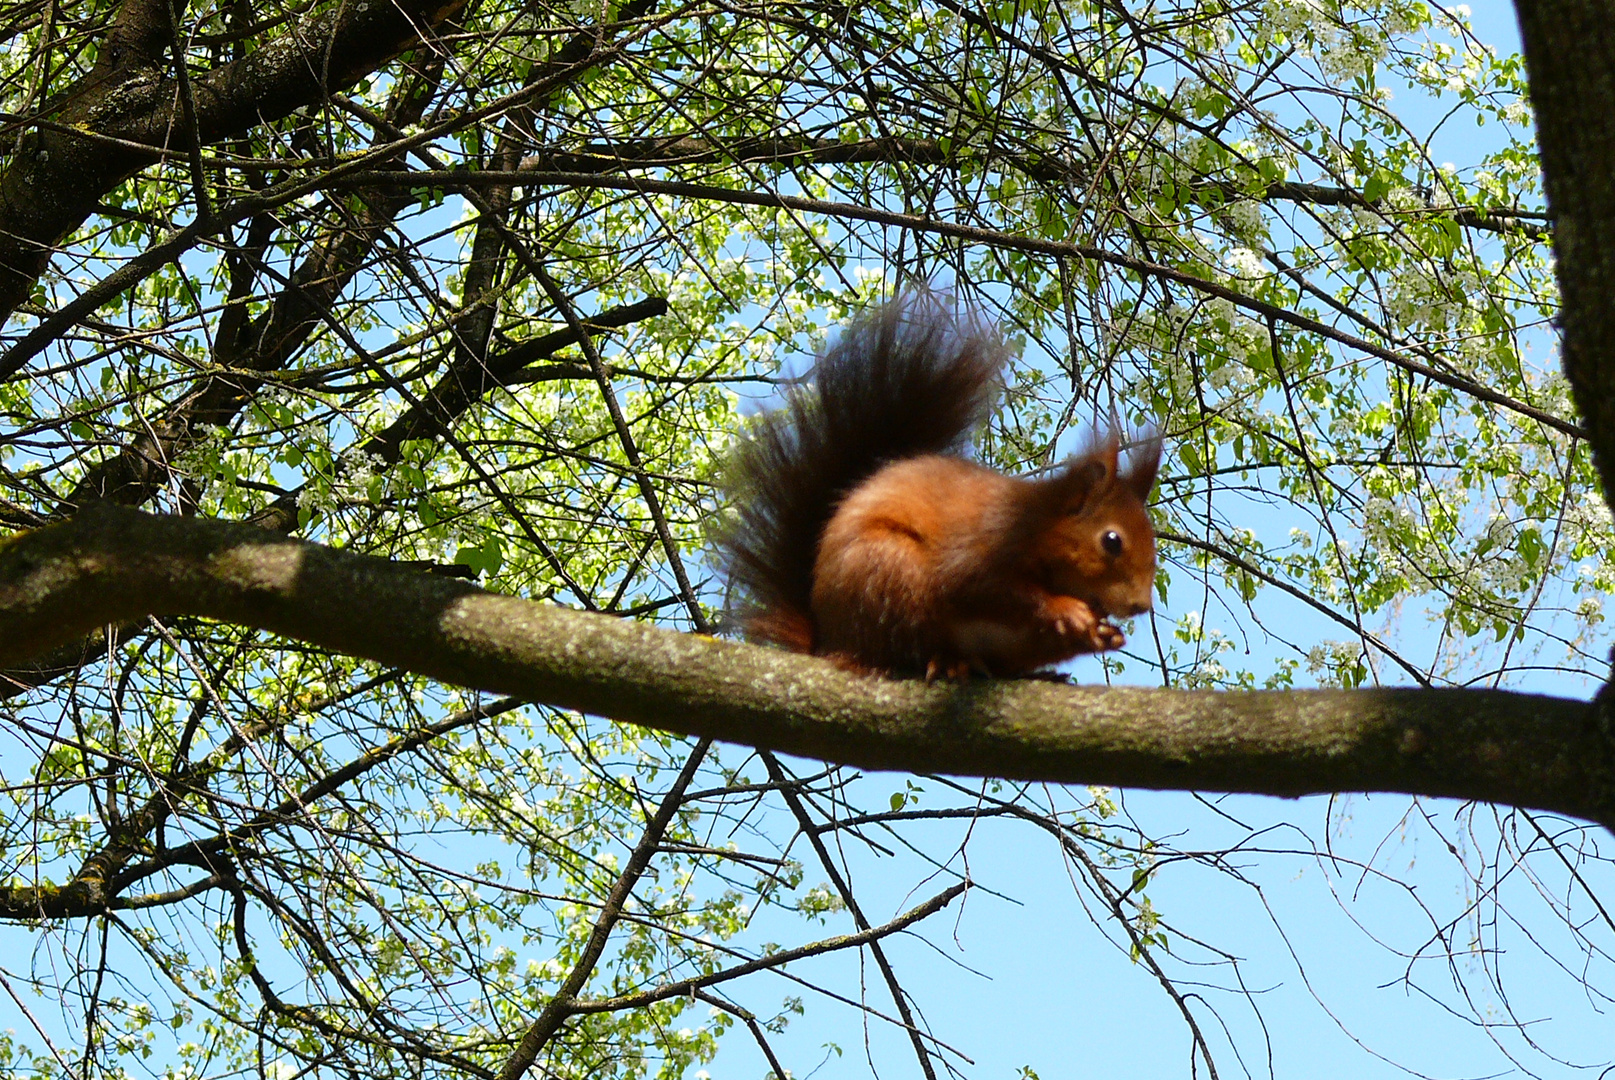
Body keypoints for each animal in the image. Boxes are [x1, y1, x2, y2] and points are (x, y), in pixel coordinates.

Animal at [723, 290, 1162, 668]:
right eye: (1112, 541)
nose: (1141, 605)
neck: (1038, 523)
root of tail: (827, 642)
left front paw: (1102, 634)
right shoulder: (985, 542)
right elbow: (980, 586)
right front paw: (1064, 608)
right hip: (888, 573)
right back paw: (945, 664)